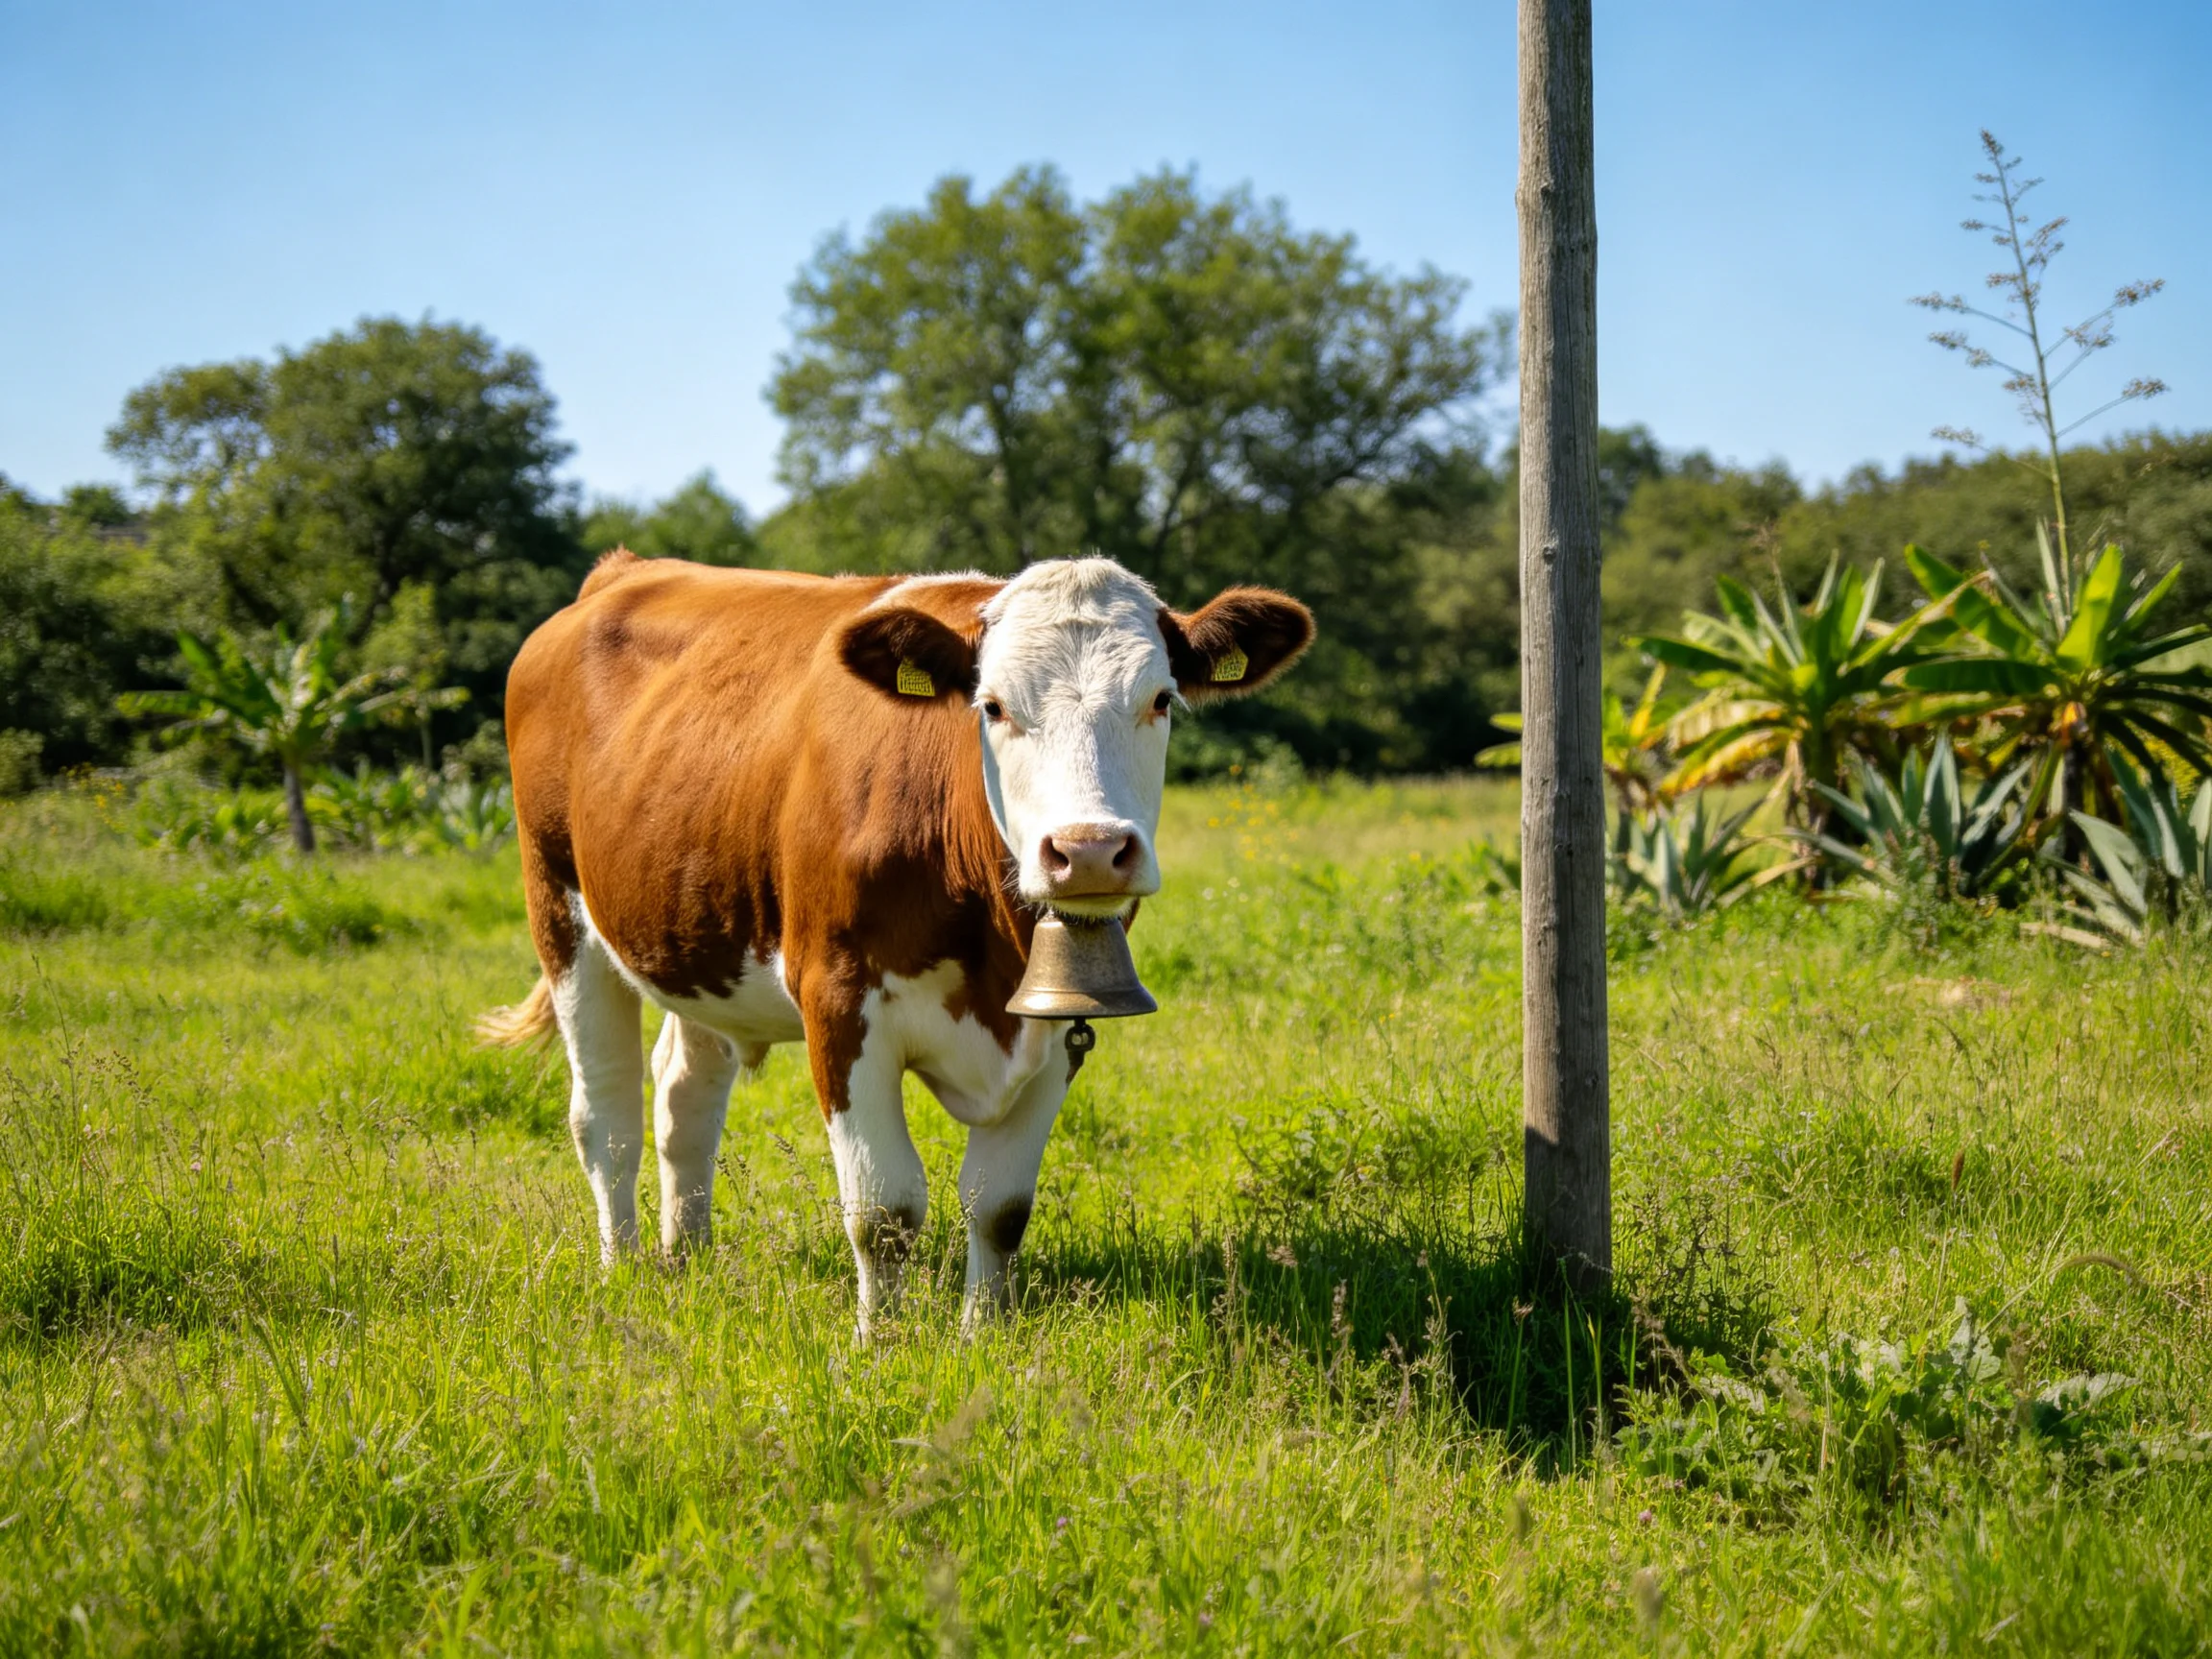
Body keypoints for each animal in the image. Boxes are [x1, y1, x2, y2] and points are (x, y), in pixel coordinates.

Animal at [479, 551, 1312, 1334]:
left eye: (1160, 699)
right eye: (993, 706)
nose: (1090, 850)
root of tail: (626, 568)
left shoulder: (1055, 1015)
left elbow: (1000, 1205)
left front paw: (985, 1334)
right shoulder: (840, 1000)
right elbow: (884, 1208)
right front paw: (881, 1343)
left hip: (697, 931)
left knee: (684, 1096)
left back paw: (688, 1258)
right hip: (560, 912)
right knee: (607, 1115)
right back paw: (622, 1270)